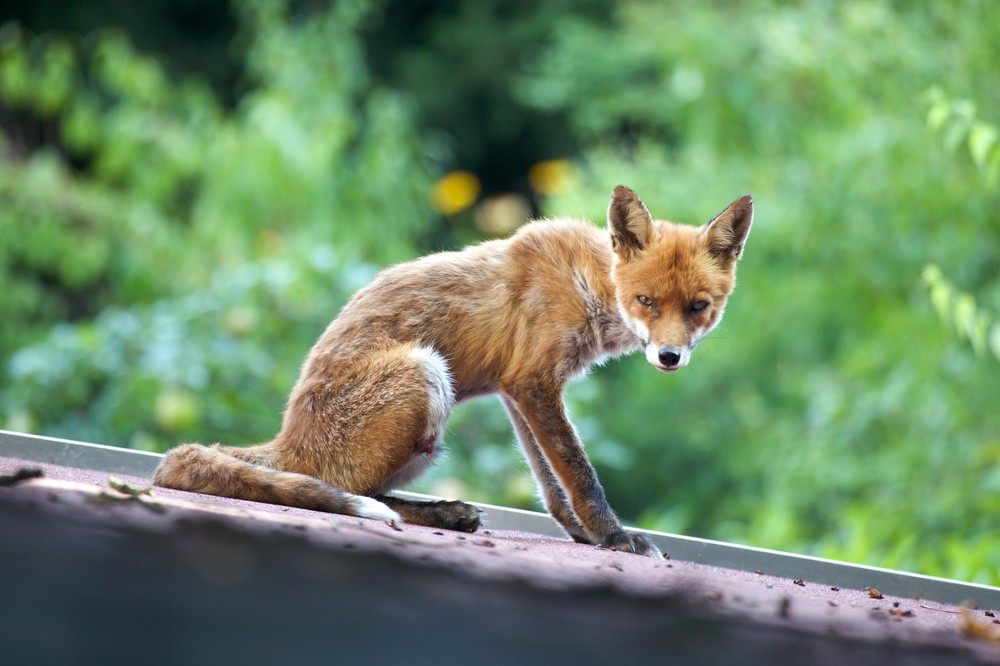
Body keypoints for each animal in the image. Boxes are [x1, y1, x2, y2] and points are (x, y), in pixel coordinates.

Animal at [152, 185, 752, 556]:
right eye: (646, 301)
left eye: (698, 306)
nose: (669, 357)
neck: (590, 283)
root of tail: (288, 437)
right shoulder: (534, 382)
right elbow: (580, 473)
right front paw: (613, 537)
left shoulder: (517, 391)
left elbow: (550, 484)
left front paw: (580, 535)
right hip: (426, 374)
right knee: (337, 485)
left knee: (362, 489)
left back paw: (446, 513)